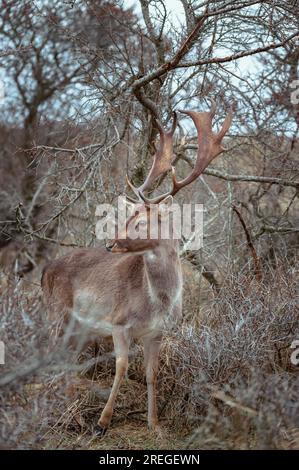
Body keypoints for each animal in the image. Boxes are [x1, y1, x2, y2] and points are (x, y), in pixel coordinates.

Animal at [41, 103, 232, 436]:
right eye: (128, 216)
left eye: (142, 222)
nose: (109, 243)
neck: (156, 301)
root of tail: (43, 271)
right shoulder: (119, 322)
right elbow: (122, 367)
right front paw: (102, 422)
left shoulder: (157, 332)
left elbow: (151, 373)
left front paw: (154, 424)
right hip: (57, 311)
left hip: (79, 326)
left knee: (67, 360)